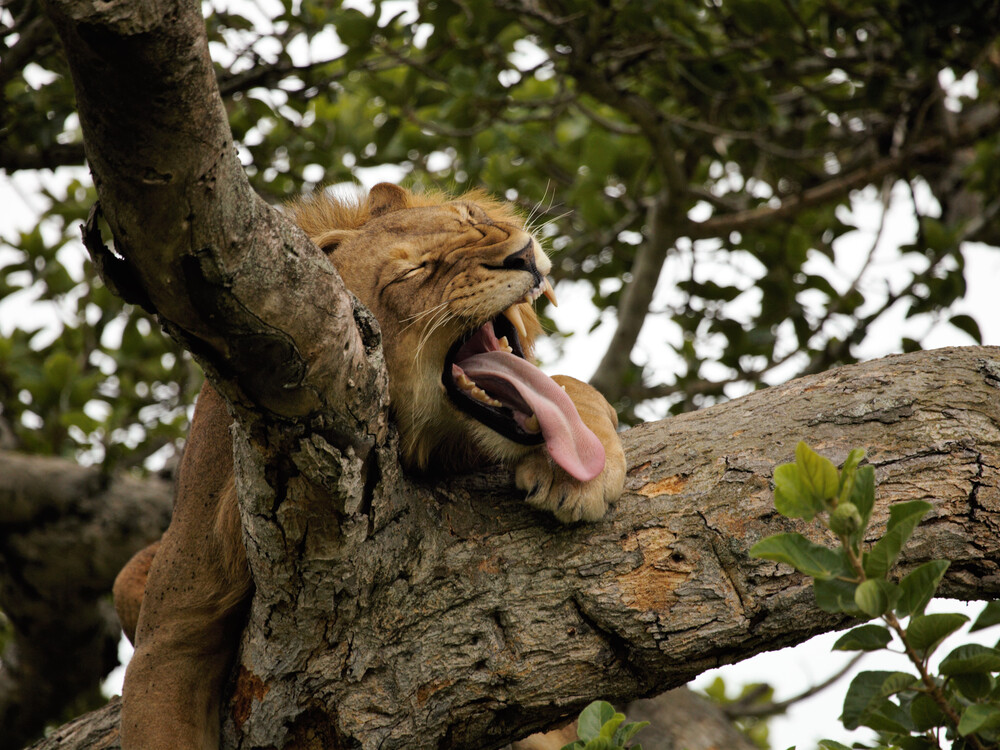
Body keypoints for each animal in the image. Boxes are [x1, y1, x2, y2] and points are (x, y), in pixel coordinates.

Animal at [112, 183, 626, 750]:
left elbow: (566, 386)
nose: (522, 254)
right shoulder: (170, 632)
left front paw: (577, 473)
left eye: (472, 219)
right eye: (413, 272)